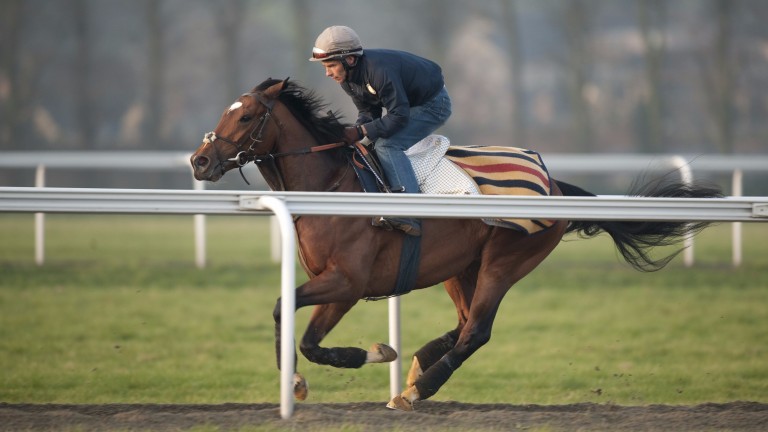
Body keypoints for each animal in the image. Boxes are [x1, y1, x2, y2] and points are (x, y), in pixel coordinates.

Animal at [189, 78, 724, 412]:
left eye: (248, 116)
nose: (199, 161)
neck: (331, 185)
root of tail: (552, 181)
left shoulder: (348, 281)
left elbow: (306, 334)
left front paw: (372, 355)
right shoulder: (331, 281)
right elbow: (290, 315)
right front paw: (297, 381)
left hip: (504, 262)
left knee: (477, 331)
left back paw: (418, 387)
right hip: (459, 268)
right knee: (465, 322)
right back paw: (418, 367)